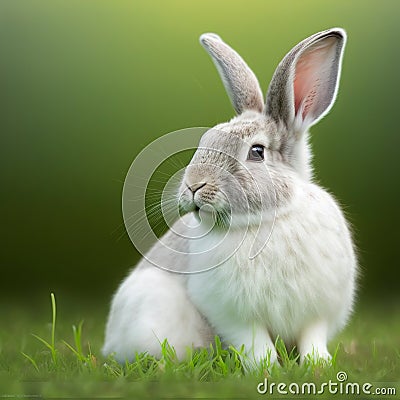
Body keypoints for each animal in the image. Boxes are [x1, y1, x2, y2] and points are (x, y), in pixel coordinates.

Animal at [102, 27, 356, 366]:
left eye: (257, 151)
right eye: (205, 140)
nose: (193, 186)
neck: (272, 219)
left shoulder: (317, 311)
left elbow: (312, 338)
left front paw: (318, 365)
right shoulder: (235, 316)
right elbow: (255, 341)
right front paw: (267, 368)